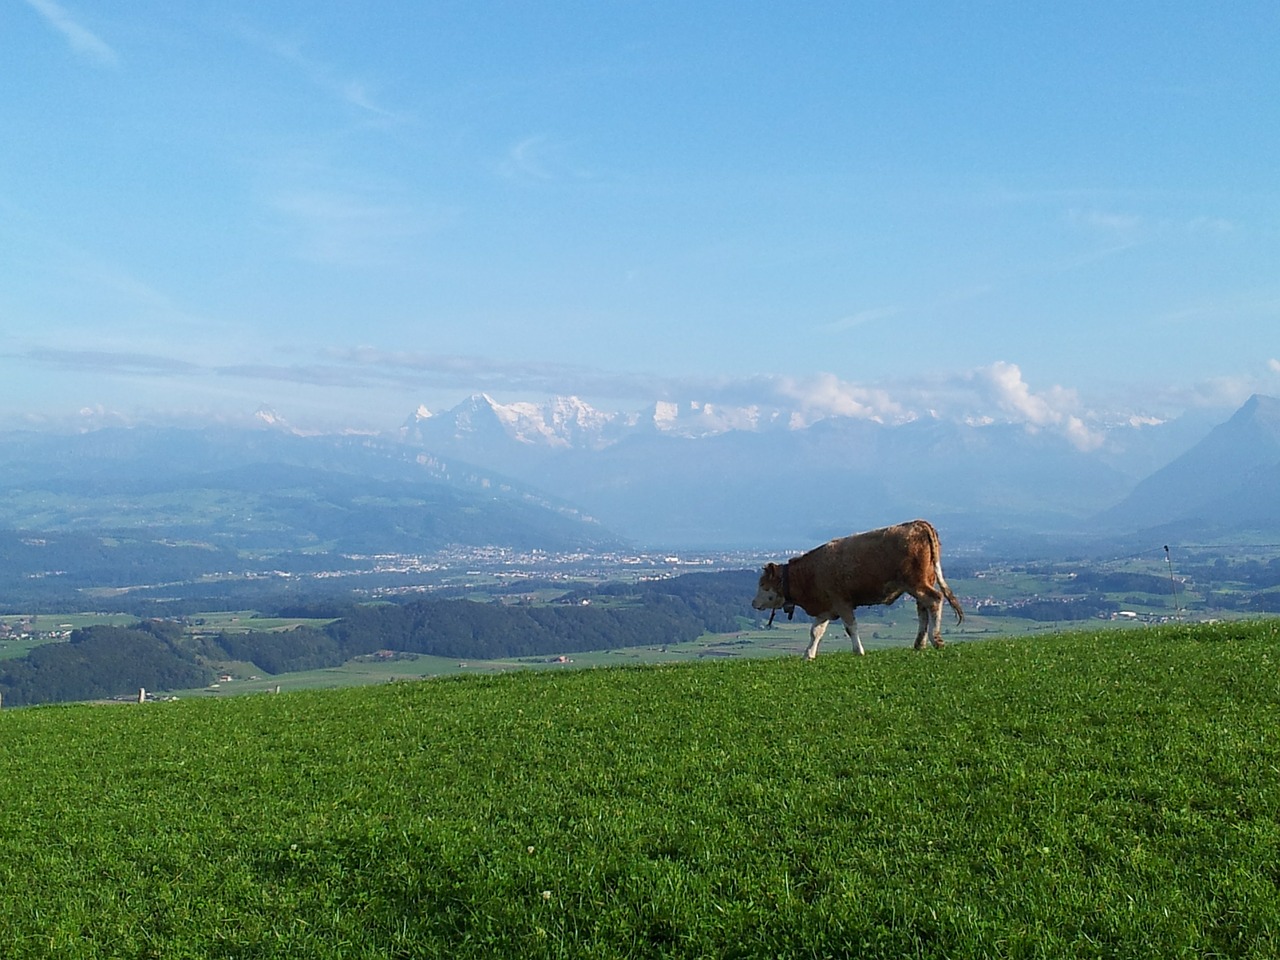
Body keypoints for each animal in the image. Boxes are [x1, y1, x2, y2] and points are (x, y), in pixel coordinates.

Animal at [747, 519, 962, 660]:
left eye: (762, 585)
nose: (753, 602)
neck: (810, 573)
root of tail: (918, 523)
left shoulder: (842, 602)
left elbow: (851, 628)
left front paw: (859, 651)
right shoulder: (827, 607)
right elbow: (816, 631)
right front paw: (809, 655)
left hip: (916, 582)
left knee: (934, 600)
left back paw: (936, 640)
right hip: (922, 583)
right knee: (923, 608)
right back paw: (920, 644)